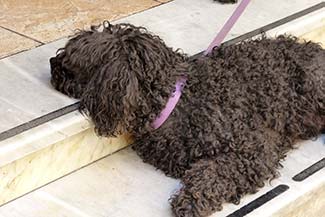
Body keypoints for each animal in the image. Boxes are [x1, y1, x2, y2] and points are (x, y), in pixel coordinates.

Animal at [48, 22, 324, 217]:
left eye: (70, 60)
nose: (52, 62)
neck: (176, 98)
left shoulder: (254, 150)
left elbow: (214, 172)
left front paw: (191, 201)